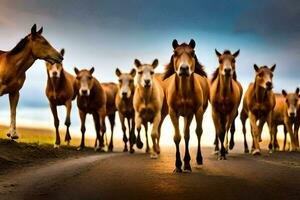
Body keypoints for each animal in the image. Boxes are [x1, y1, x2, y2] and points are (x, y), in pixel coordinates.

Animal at [163, 39, 210, 173]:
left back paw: (197, 160)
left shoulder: (193, 112)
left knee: (196, 132)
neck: (183, 93)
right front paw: (178, 165)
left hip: (196, 113)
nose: (184, 68)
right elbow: (177, 137)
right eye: (175, 53)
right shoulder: (173, 112)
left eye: (192, 53)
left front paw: (187, 163)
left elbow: (191, 134)